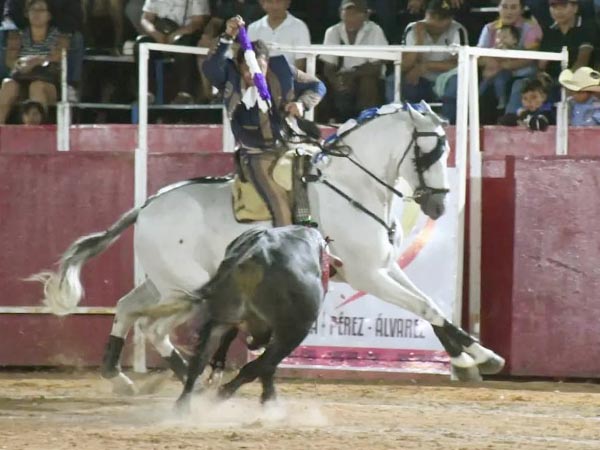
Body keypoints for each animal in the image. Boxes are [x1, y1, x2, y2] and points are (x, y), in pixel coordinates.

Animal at [31, 101, 502, 390]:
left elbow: (432, 307)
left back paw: (123, 377)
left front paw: (479, 355)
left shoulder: (387, 267)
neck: (353, 186)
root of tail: (147, 205)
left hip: (162, 283)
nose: (439, 205)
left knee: (128, 308)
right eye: (430, 153)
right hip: (184, 289)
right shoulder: (368, 273)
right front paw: (470, 361)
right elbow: (425, 307)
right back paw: (186, 375)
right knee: (151, 326)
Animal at [176, 225, 330, 412]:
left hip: (222, 317)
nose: (252, 343)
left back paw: (183, 406)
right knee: (257, 365)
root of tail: (254, 255)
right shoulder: (288, 333)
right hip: (293, 331)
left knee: (200, 358)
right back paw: (223, 392)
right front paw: (268, 399)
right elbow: (264, 365)